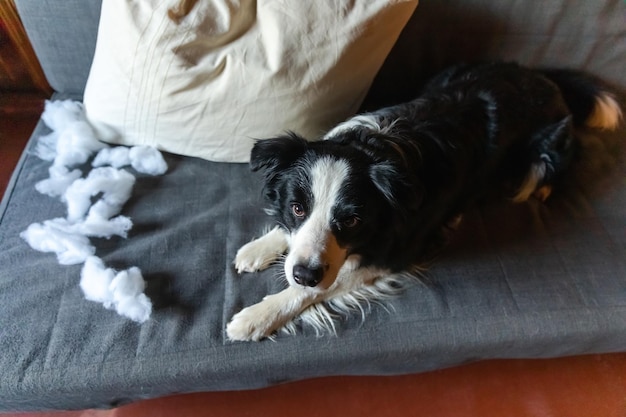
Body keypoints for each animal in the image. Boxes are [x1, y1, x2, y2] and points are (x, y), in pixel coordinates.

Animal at [225, 62, 620, 342]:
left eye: (351, 221)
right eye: (297, 208)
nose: (305, 273)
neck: (374, 148)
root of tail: (543, 76)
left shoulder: (394, 253)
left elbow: (310, 291)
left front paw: (255, 318)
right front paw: (259, 248)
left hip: (550, 149)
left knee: (543, 172)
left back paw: (534, 190)